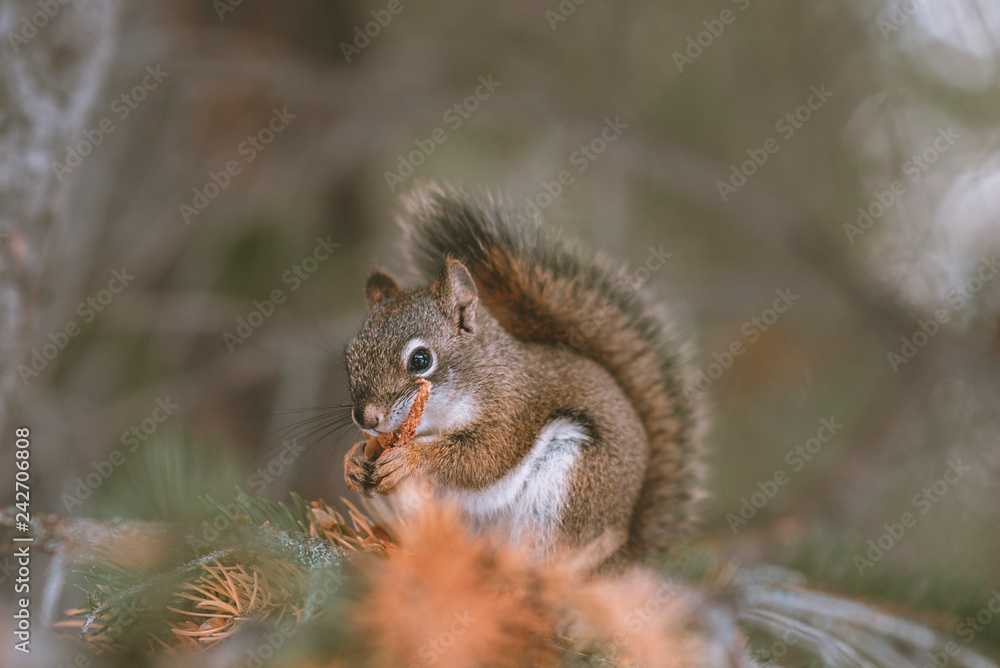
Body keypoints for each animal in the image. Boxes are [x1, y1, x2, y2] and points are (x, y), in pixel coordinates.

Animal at [343, 184, 703, 565]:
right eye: (350, 356)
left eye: (420, 359)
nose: (366, 418)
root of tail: (621, 553)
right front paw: (352, 460)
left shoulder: (514, 408)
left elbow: (483, 457)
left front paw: (410, 458)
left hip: (571, 487)